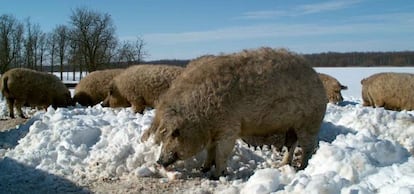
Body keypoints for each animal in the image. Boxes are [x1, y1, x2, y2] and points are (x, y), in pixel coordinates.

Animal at [145, 47, 326, 179]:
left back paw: (302, 168)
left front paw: (215, 176)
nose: (159, 161)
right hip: (291, 125)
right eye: (162, 135)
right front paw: (203, 169)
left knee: (307, 146)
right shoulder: (214, 132)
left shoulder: (229, 127)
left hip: (310, 121)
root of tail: (315, 76)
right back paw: (281, 165)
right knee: (291, 144)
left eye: (175, 133)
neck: (202, 113)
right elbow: (210, 151)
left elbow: (222, 153)